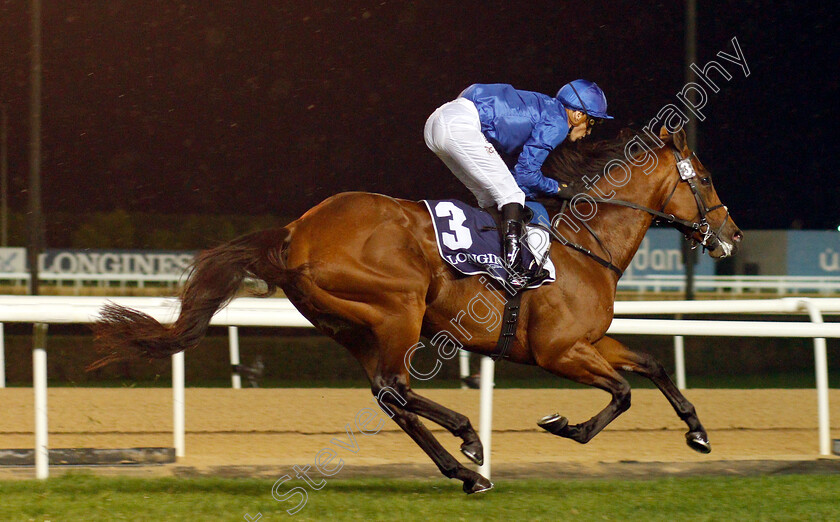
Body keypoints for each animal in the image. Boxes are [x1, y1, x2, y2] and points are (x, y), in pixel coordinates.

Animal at [93, 126, 740, 492]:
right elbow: (623, 392)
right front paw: (565, 426)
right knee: (396, 389)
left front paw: (699, 433)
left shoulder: (591, 341)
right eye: (706, 179)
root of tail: (295, 232)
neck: (586, 246)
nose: (730, 236)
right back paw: (469, 443)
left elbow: (652, 366)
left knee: (390, 397)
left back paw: (466, 472)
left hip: (353, 326)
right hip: (399, 306)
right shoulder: (558, 351)